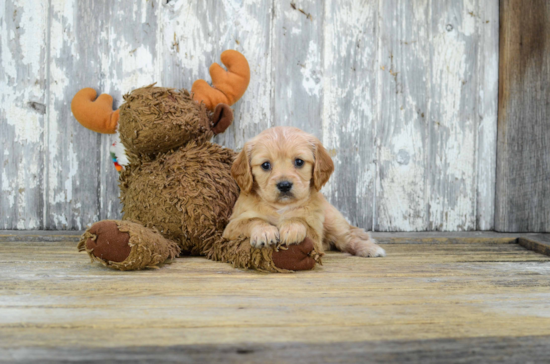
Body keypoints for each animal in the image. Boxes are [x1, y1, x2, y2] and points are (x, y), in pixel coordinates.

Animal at [224, 126, 388, 258]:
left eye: (299, 162)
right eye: (265, 165)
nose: (284, 185)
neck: (281, 207)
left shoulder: (315, 235)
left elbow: (300, 220)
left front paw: (292, 227)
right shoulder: (231, 227)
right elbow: (252, 220)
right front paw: (264, 231)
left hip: (333, 221)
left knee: (347, 238)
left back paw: (369, 248)